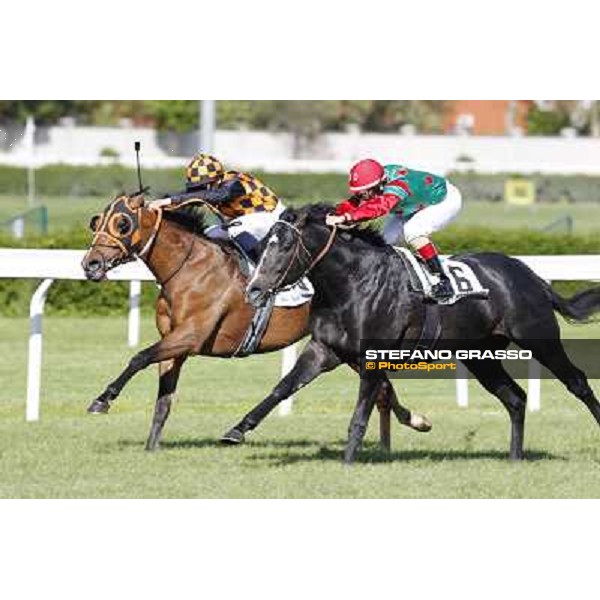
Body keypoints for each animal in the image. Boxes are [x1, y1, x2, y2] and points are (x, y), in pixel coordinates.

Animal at [81, 195, 432, 452]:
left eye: (122, 223)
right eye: (96, 221)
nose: (90, 264)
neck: (188, 268)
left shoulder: (191, 336)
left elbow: (138, 357)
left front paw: (102, 400)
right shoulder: (175, 342)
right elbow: (163, 399)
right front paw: (151, 448)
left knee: (381, 387)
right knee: (383, 388)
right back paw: (410, 424)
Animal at [223, 204, 600, 462]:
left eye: (285, 246)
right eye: (263, 245)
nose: (254, 290)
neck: (352, 282)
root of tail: (528, 275)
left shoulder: (372, 358)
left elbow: (361, 412)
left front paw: (348, 460)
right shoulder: (323, 349)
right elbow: (283, 388)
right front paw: (236, 430)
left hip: (539, 338)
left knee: (577, 382)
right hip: (481, 355)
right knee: (515, 398)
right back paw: (514, 457)